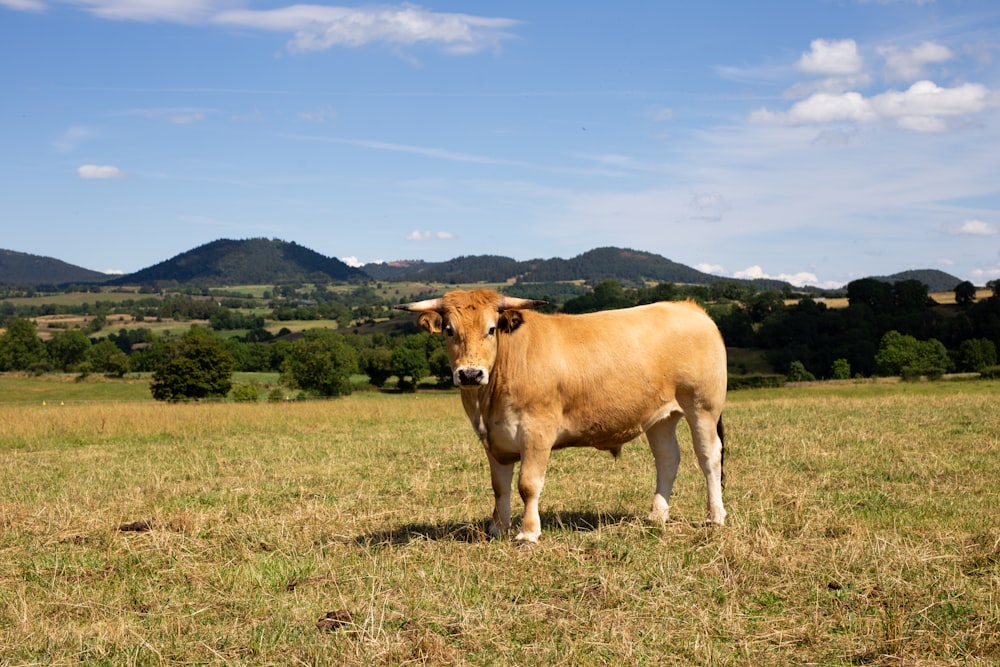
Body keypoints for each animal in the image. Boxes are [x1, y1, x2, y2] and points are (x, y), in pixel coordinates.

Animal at [390, 290, 728, 544]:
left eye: (491, 329)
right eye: (450, 330)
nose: (470, 374)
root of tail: (689, 307)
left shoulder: (537, 432)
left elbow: (528, 484)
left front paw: (528, 533)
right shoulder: (494, 440)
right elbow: (499, 486)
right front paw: (497, 528)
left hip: (702, 406)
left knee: (709, 457)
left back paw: (715, 516)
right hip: (659, 417)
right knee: (668, 459)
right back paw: (657, 516)